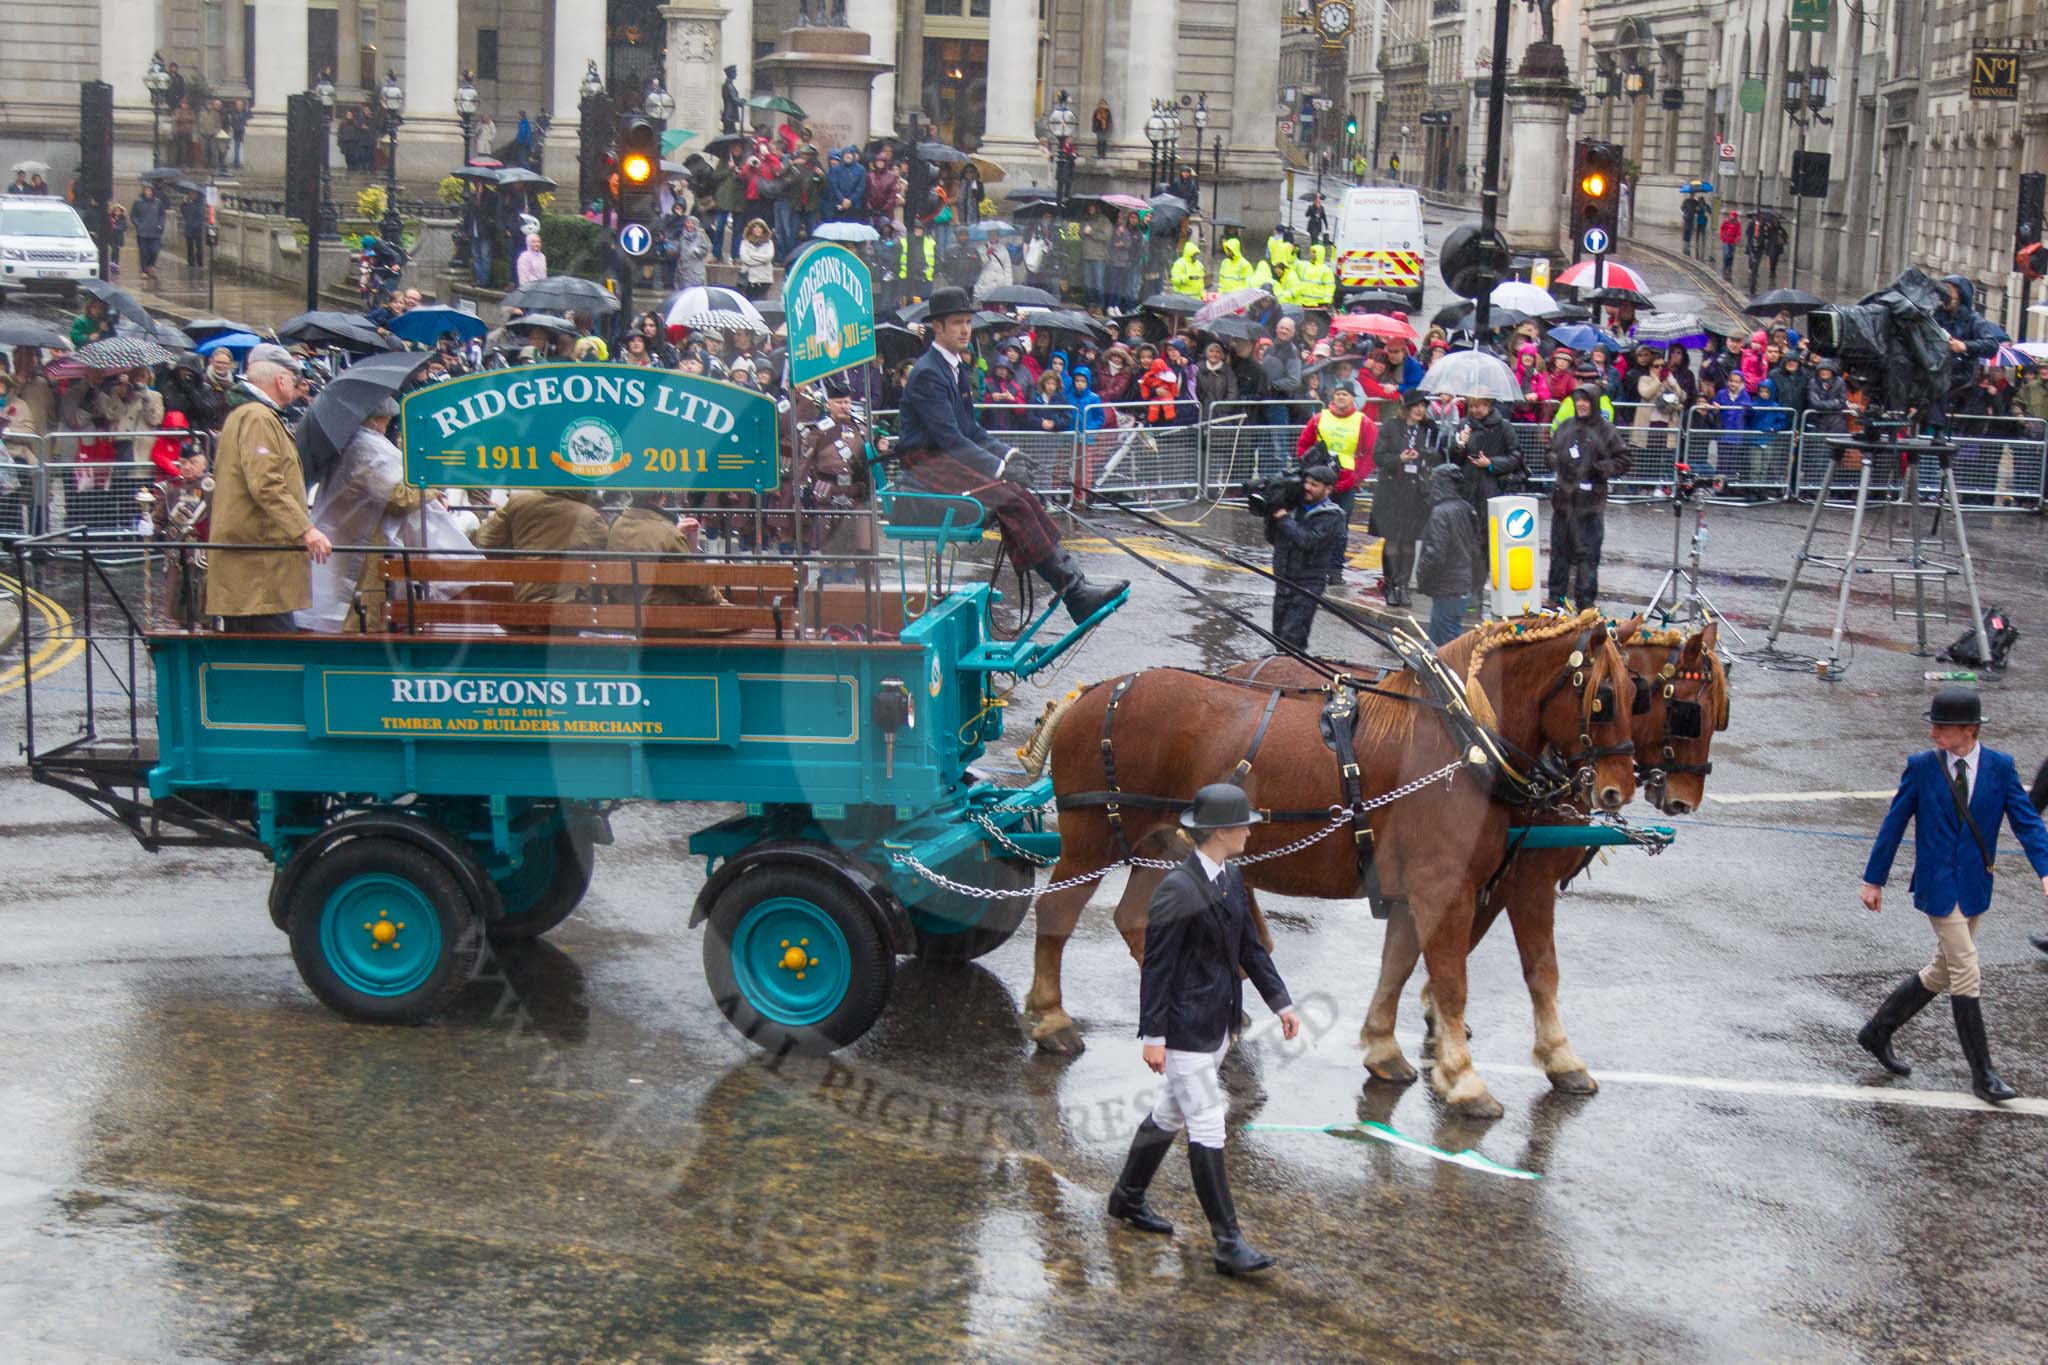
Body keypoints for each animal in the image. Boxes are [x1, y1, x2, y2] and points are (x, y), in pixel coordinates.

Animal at [1245, 626, 1728, 1113]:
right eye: (1688, 713)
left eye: (1637, 696)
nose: (1684, 799)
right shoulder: (1517, 879)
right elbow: (1527, 968)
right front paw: (1531, 1058)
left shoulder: (1489, 877)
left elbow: (1430, 954)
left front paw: (1416, 1029)